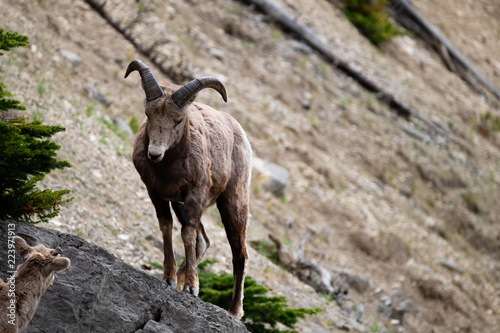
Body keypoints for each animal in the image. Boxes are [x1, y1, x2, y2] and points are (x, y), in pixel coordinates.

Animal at [123, 59, 252, 316]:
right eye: (148, 114)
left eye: (179, 120)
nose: (155, 153)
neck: (168, 168)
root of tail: (240, 133)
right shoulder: (158, 194)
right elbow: (167, 228)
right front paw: (170, 279)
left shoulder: (195, 195)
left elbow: (187, 233)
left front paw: (193, 287)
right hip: (181, 205)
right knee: (204, 241)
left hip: (232, 203)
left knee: (238, 253)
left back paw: (234, 311)